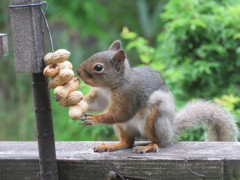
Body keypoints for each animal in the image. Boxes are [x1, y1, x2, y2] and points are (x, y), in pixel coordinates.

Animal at [76, 39, 238, 153]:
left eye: (98, 67)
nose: (78, 71)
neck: (111, 86)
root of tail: (170, 131)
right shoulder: (101, 95)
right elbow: (96, 104)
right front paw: (77, 103)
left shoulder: (129, 95)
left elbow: (121, 113)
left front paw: (94, 119)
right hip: (123, 127)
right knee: (128, 142)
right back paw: (113, 145)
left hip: (155, 119)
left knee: (160, 142)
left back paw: (149, 146)